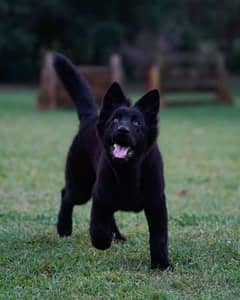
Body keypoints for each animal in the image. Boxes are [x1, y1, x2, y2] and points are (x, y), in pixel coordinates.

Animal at [54, 52, 171, 270]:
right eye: (116, 120)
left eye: (136, 123)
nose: (122, 131)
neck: (129, 171)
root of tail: (90, 117)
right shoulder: (100, 196)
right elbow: (98, 229)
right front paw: (103, 241)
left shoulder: (156, 203)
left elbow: (159, 236)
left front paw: (161, 264)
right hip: (80, 187)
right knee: (66, 194)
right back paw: (64, 228)